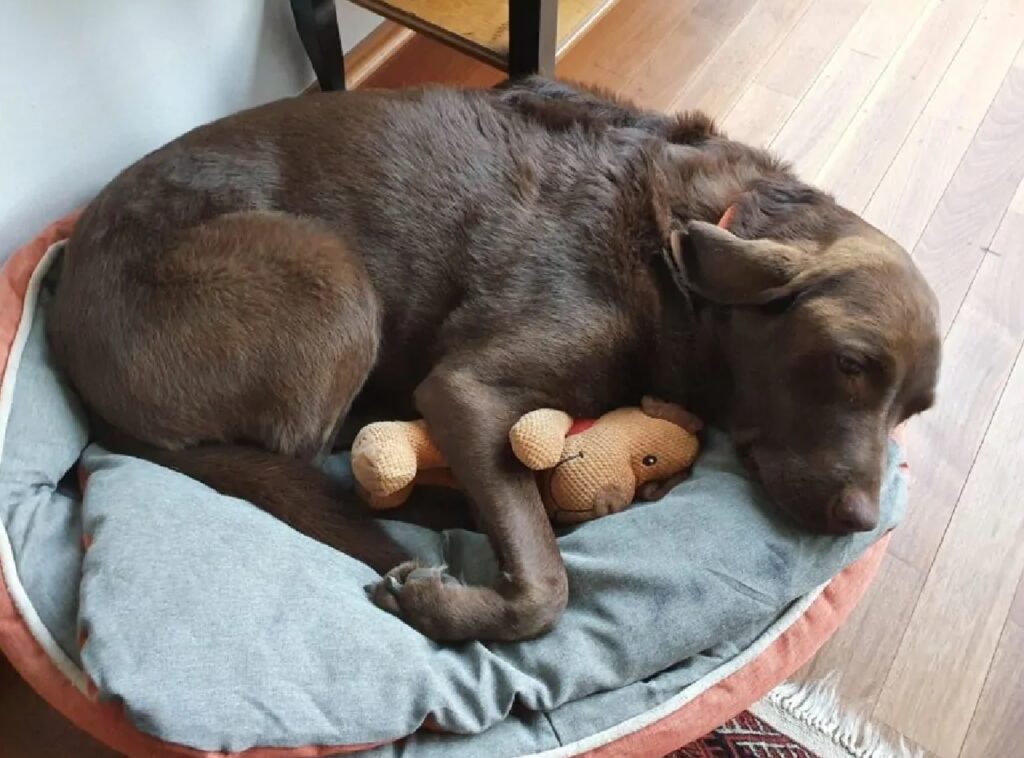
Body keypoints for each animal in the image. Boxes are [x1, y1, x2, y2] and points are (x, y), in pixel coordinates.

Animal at [49, 79, 942, 643]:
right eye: (849, 363)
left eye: (915, 410)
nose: (862, 520)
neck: (686, 250)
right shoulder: (466, 390)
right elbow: (548, 588)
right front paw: (448, 610)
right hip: (329, 271)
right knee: (314, 462)